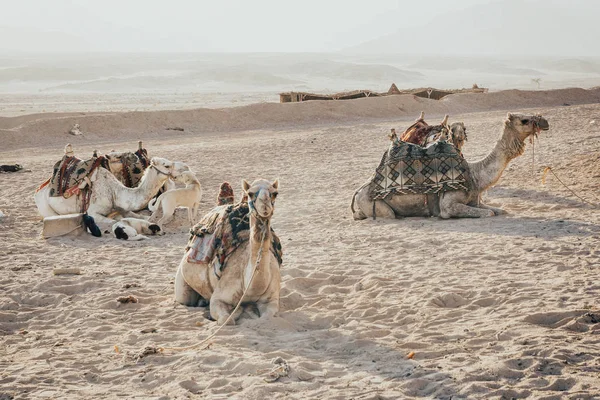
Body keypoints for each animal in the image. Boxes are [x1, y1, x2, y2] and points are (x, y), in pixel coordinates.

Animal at [173, 180, 282, 326]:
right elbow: (227, 319)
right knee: (185, 298)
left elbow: (266, 317)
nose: (264, 204)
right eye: (250, 193)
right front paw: (239, 311)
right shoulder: (219, 297)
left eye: (275, 193)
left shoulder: (272, 300)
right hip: (182, 284)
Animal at [352, 111, 548, 219]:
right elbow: (489, 213)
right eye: (524, 120)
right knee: (388, 214)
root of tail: (358, 192)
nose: (544, 121)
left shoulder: (476, 201)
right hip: (375, 206)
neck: (475, 175)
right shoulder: (448, 205)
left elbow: (500, 211)